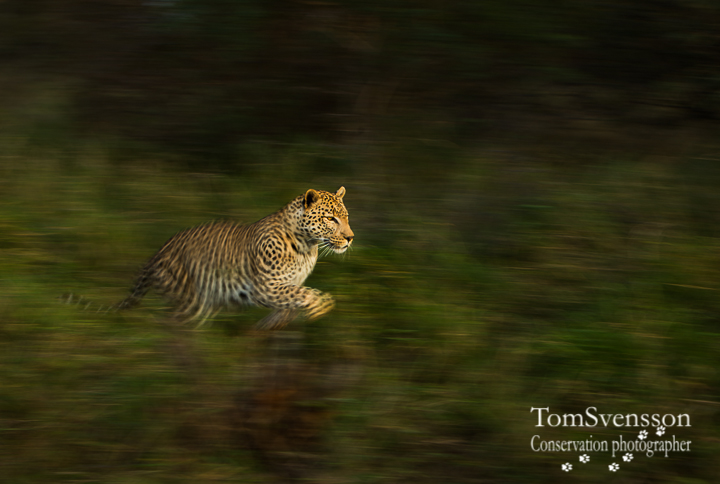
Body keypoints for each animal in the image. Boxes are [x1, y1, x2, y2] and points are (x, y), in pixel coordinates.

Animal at [70, 187, 353, 330]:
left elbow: (293, 301)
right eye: (331, 219)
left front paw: (269, 325)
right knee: (166, 325)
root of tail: (156, 254)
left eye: (346, 216)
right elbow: (305, 294)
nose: (350, 238)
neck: (307, 246)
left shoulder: (284, 287)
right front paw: (321, 306)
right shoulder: (266, 287)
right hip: (189, 300)